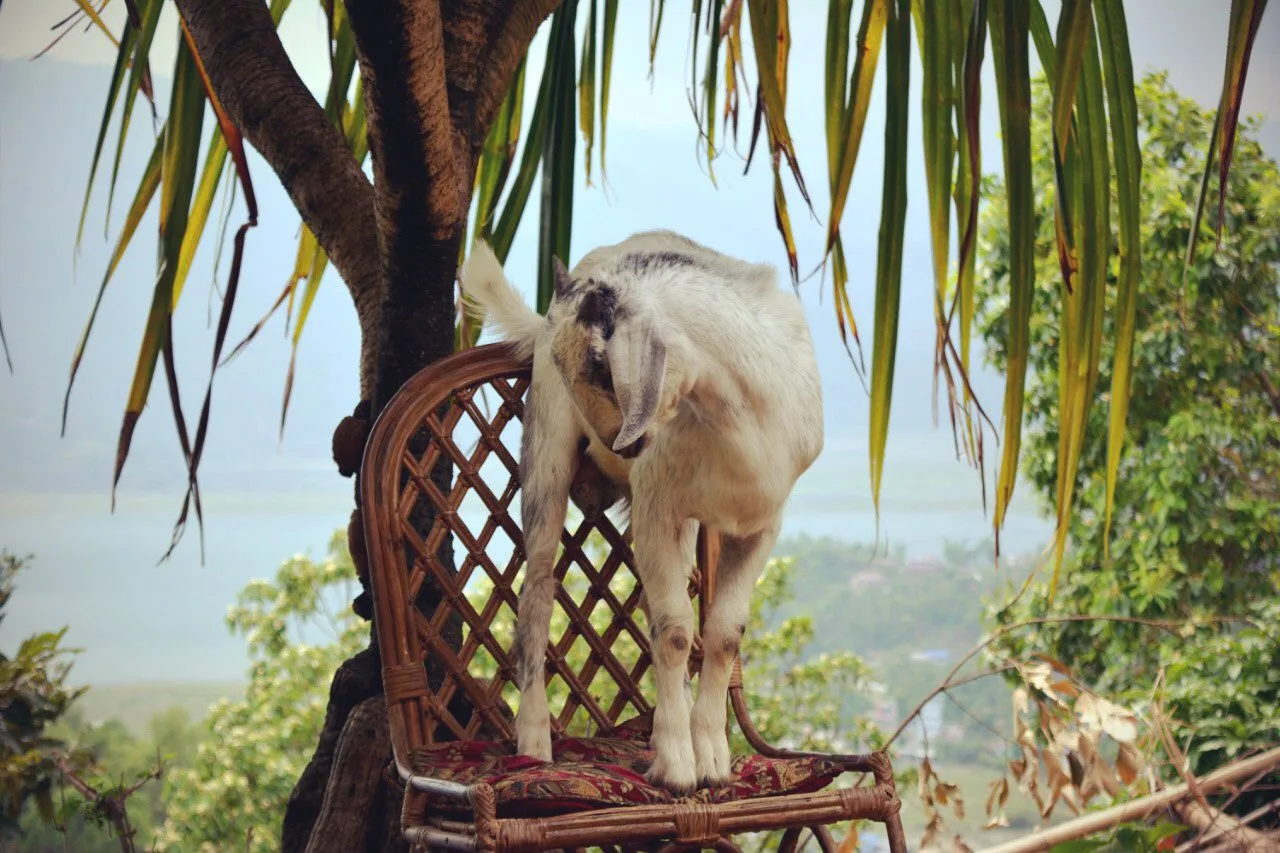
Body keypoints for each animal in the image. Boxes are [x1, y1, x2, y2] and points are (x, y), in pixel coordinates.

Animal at [458, 230, 823, 794]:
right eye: (574, 365)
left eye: (598, 362)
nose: (616, 447)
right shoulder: (656, 504)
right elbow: (673, 631)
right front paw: (676, 765)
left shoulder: (760, 524)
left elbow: (723, 635)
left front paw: (711, 757)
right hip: (546, 452)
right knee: (536, 588)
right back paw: (535, 740)